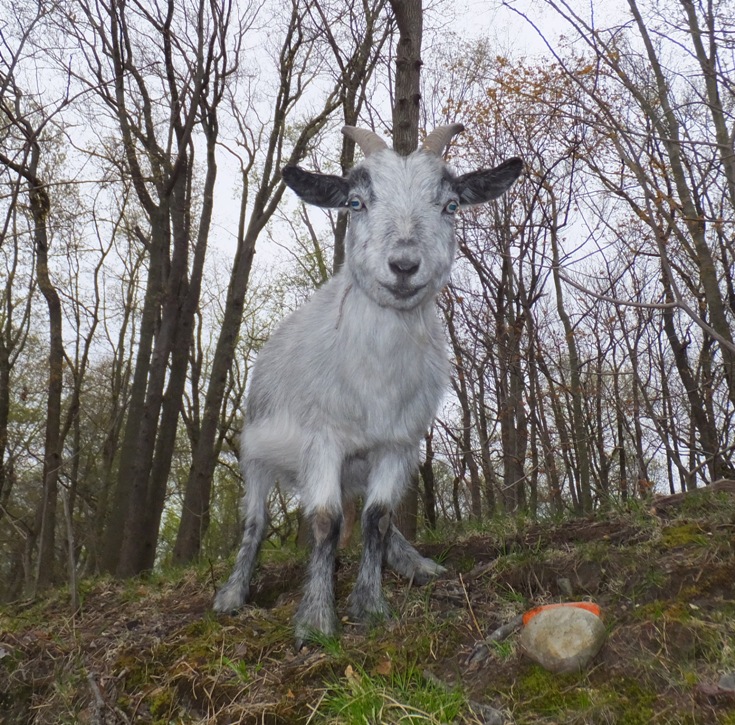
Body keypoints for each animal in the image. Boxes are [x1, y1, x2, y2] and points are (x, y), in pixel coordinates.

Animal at [214, 124, 522, 646]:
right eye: (355, 203)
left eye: (451, 205)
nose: (404, 264)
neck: (376, 379)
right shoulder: (322, 439)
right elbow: (325, 520)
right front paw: (316, 621)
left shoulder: (399, 444)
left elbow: (376, 518)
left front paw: (370, 605)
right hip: (255, 452)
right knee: (255, 521)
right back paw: (233, 594)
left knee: (371, 514)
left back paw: (413, 563)